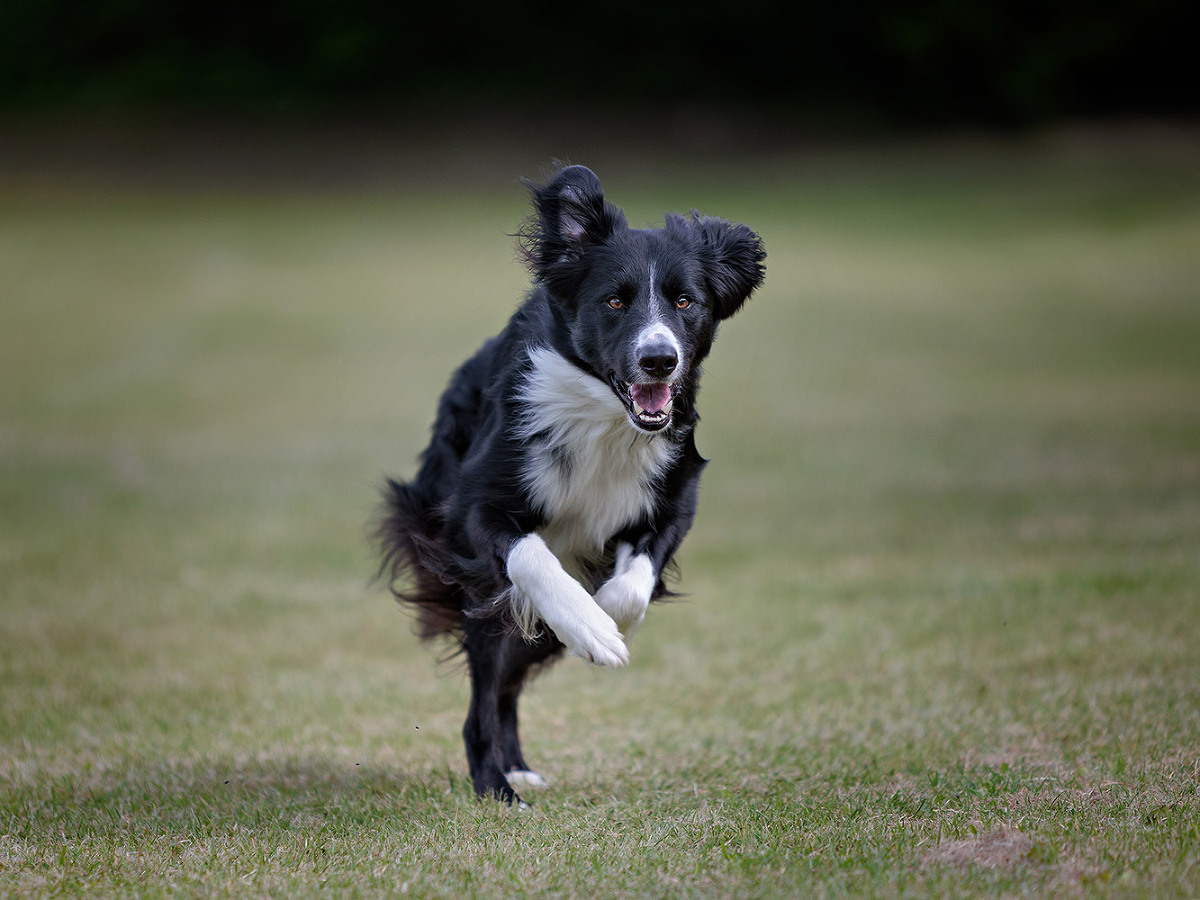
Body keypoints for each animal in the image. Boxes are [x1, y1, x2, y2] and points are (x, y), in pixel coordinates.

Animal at [376, 164, 768, 801]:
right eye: (615, 300)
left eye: (686, 301)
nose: (659, 360)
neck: (606, 416)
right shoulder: (471, 508)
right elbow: (532, 556)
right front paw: (592, 627)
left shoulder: (676, 492)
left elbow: (635, 578)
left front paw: (605, 614)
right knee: (486, 691)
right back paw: (497, 786)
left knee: (509, 680)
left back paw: (515, 767)